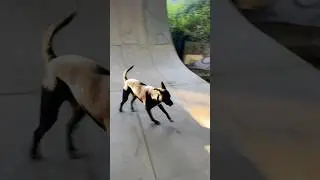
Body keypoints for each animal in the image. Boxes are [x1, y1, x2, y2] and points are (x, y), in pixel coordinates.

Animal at [30, 11, 110, 160]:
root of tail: (53, 59)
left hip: (79, 109)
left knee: (69, 126)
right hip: (50, 111)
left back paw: (71, 149)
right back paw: (33, 153)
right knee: (38, 131)